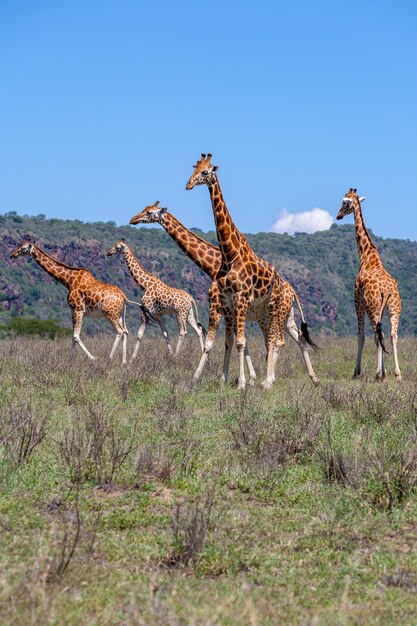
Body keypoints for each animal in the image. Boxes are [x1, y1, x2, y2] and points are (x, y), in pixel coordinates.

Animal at [10, 241, 154, 364]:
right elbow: (73, 336)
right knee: (125, 331)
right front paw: (70, 360)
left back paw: (109, 358)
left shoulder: (78, 309)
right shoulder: (73, 311)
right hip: (119, 314)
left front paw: (93, 358)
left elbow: (76, 336)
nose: (12, 254)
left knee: (120, 331)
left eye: (23, 248)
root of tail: (123, 296)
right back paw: (123, 361)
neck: (68, 281)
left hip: (109, 313)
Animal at [130, 202, 318, 382]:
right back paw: (311, 378)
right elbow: (238, 341)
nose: (133, 219)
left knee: (277, 340)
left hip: (272, 314)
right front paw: (247, 378)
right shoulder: (230, 311)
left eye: (149, 212)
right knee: (297, 337)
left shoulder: (217, 306)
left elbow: (229, 341)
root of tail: (292, 291)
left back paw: (270, 378)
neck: (213, 266)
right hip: (287, 317)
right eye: (145, 209)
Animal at [334, 188, 400, 378]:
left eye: (344, 203)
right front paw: (385, 371)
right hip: (393, 308)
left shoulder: (357, 301)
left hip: (372, 307)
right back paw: (397, 373)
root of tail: (387, 289)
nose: (338, 216)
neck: (366, 255)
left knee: (379, 334)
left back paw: (378, 374)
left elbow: (361, 336)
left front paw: (357, 371)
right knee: (392, 334)